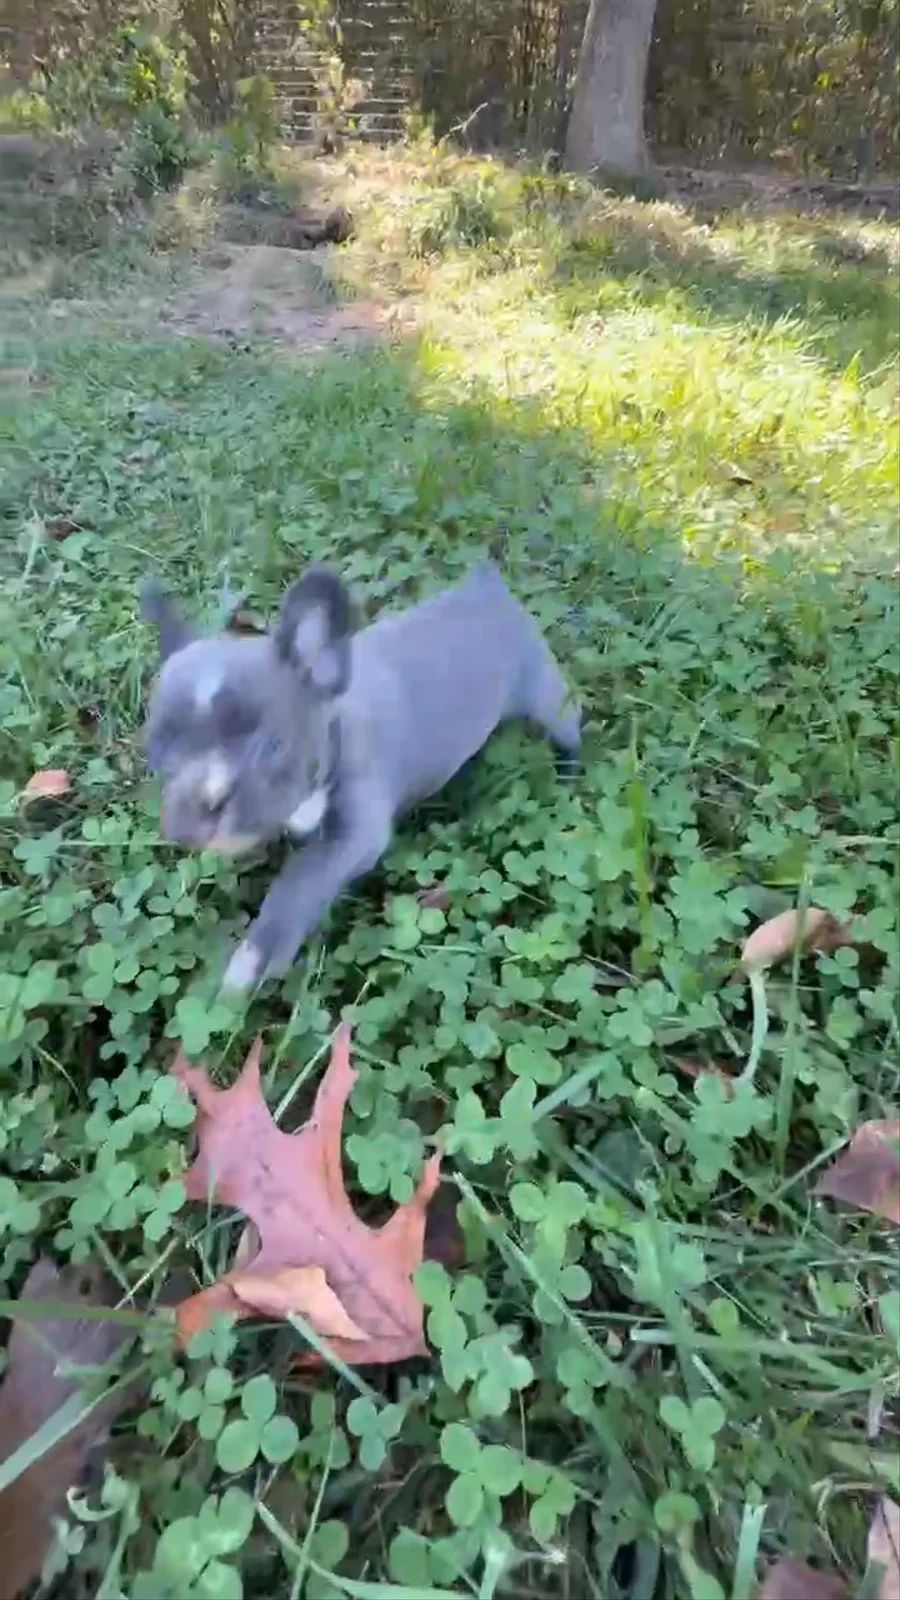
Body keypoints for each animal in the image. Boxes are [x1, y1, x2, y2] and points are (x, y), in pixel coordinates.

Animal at [141, 563, 580, 993]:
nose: (196, 813)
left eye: (271, 747)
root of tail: (487, 586)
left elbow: (300, 881)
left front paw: (256, 955)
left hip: (545, 693)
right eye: (157, 753)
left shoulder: (354, 835)